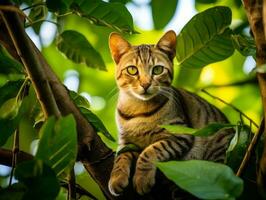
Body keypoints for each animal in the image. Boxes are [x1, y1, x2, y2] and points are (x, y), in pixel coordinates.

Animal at [107, 30, 233, 196]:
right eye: (132, 70)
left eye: (157, 70)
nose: (145, 84)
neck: (139, 109)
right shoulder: (125, 142)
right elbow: (120, 157)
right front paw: (116, 177)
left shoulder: (180, 135)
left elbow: (150, 151)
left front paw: (142, 179)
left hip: (220, 145)